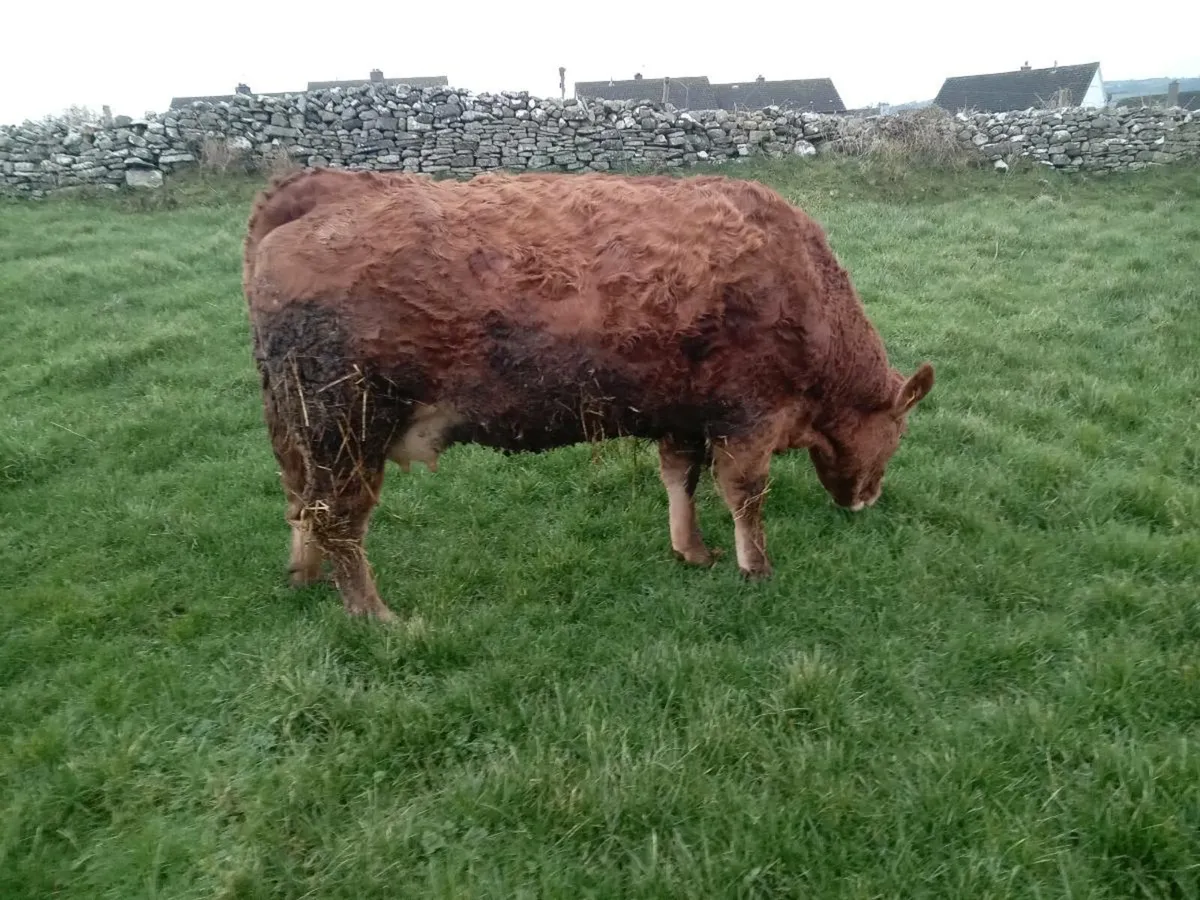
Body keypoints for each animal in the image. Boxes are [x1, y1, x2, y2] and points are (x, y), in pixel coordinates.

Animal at [242, 167, 934, 621]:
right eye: (897, 436)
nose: (867, 499)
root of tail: (326, 186)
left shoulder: (683, 412)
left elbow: (679, 478)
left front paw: (692, 551)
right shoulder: (749, 415)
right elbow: (746, 496)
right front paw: (754, 568)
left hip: (298, 426)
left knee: (300, 502)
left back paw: (305, 577)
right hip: (346, 422)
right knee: (337, 517)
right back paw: (376, 616)